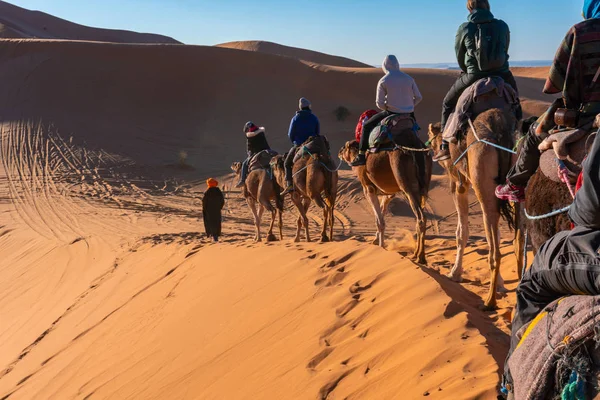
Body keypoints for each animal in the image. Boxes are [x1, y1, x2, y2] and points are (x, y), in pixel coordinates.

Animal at [338, 136, 432, 264]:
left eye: (345, 146)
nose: (339, 152)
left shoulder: (368, 188)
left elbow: (379, 221)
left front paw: (381, 247)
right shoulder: (388, 193)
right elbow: (381, 213)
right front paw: (376, 240)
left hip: (407, 184)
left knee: (421, 218)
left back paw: (420, 257)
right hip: (424, 187)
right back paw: (416, 254)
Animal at [426, 108, 520, 310]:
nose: (435, 153)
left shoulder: (458, 183)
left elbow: (462, 232)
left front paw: (455, 273)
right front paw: (501, 283)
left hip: (482, 177)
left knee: (494, 249)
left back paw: (489, 302)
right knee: (518, 242)